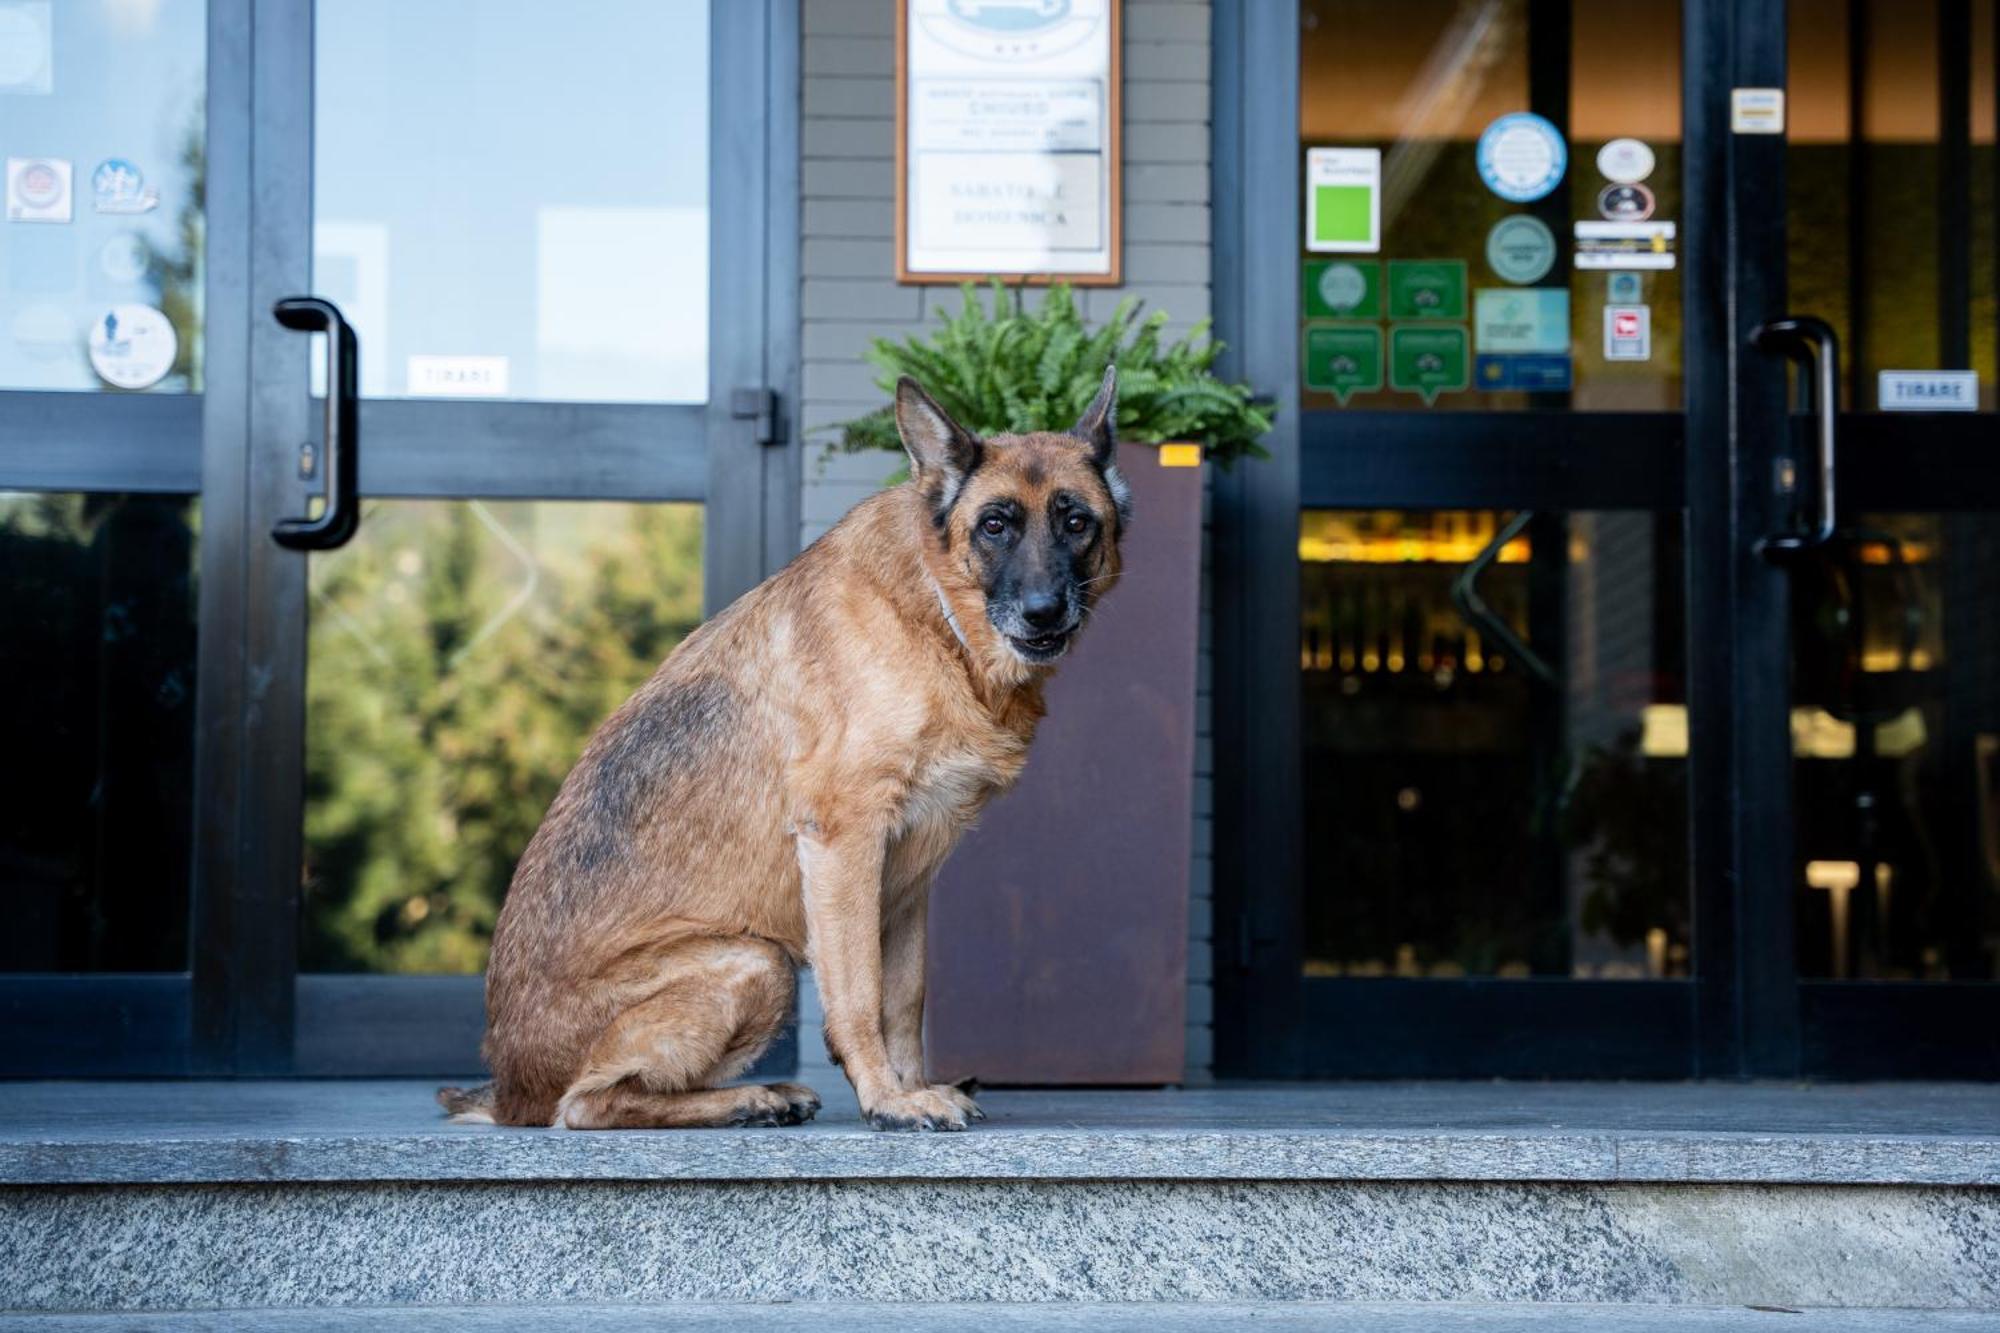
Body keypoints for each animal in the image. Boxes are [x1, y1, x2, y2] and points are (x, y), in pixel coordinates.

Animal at [438, 368, 1128, 1128]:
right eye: (996, 525)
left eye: (1076, 522)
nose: (1043, 612)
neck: (934, 613)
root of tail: (510, 1093)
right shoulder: (843, 845)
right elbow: (860, 996)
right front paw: (888, 1099)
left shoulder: (908, 878)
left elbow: (904, 999)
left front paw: (913, 1086)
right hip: (755, 960)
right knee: (589, 1105)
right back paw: (747, 1098)